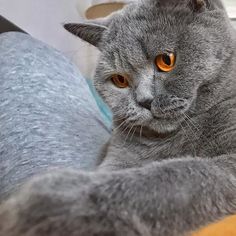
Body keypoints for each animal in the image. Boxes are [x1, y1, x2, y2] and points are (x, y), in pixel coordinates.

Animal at [0, 0, 236, 235]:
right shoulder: (118, 155)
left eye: (166, 61)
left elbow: (175, 174)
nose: (144, 101)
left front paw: (49, 205)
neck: (170, 138)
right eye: (119, 80)